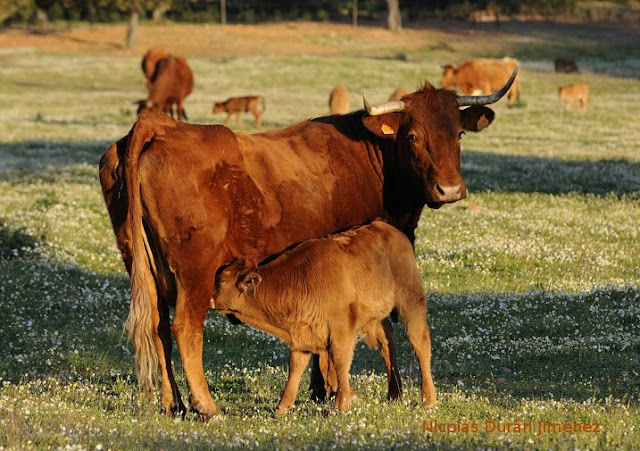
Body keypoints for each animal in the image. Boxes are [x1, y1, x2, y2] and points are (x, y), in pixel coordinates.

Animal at [212, 220, 436, 415]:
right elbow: (295, 367)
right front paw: (282, 408)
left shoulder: (341, 330)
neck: (301, 279)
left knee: (420, 345)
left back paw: (428, 399)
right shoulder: (303, 333)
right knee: (388, 346)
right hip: (377, 318)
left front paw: (341, 404)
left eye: (222, 281)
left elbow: (340, 361)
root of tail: (389, 230)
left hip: (411, 303)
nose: (209, 298)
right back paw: (394, 395)